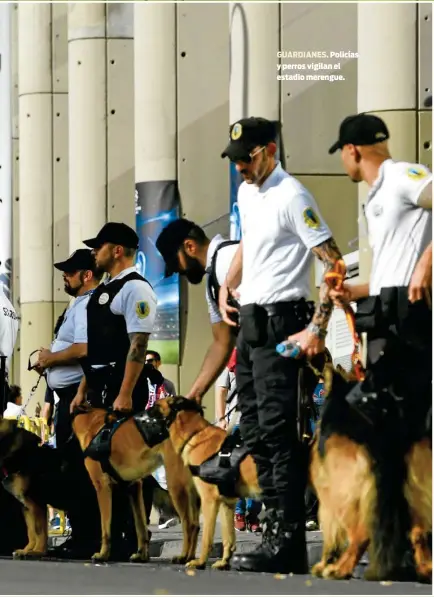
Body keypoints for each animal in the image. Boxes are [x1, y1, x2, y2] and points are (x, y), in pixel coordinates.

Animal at [71, 406, 200, 564]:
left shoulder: (102, 486)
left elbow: (106, 528)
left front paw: (103, 555)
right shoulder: (134, 487)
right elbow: (141, 526)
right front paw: (142, 555)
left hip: (176, 486)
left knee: (189, 524)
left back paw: (183, 557)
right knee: (196, 525)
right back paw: (190, 558)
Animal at [147, 396, 262, 568]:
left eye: (156, 405)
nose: (138, 414)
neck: (195, 435)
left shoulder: (210, 500)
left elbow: (207, 537)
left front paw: (200, 562)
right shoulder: (227, 503)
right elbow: (228, 538)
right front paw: (224, 562)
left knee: (190, 526)